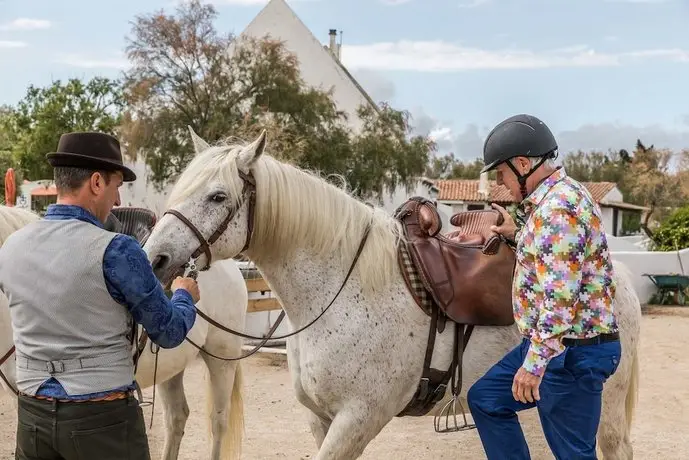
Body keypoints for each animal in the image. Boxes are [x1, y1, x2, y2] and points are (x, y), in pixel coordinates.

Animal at [144, 130, 640, 460]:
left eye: (217, 196)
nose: (155, 258)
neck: (340, 290)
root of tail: (620, 277)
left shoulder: (359, 418)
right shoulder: (321, 419)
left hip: (601, 411)